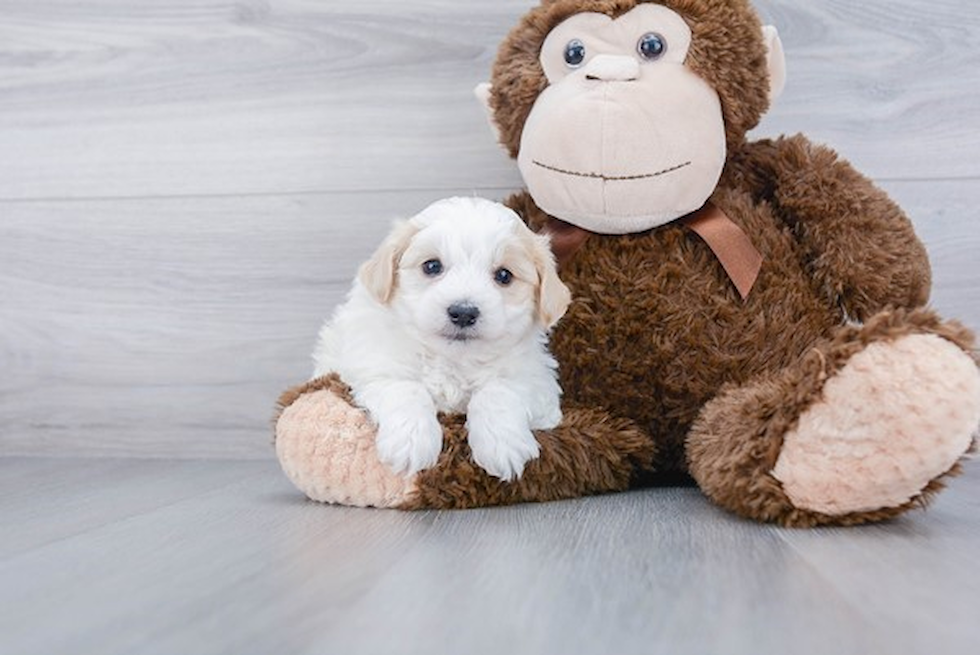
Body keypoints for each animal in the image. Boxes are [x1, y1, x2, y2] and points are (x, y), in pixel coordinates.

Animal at [314, 196, 572, 482]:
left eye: (504, 276)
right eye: (432, 266)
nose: (464, 312)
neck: (450, 359)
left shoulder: (537, 381)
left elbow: (498, 390)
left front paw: (502, 445)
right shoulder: (374, 366)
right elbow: (406, 388)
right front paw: (411, 442)